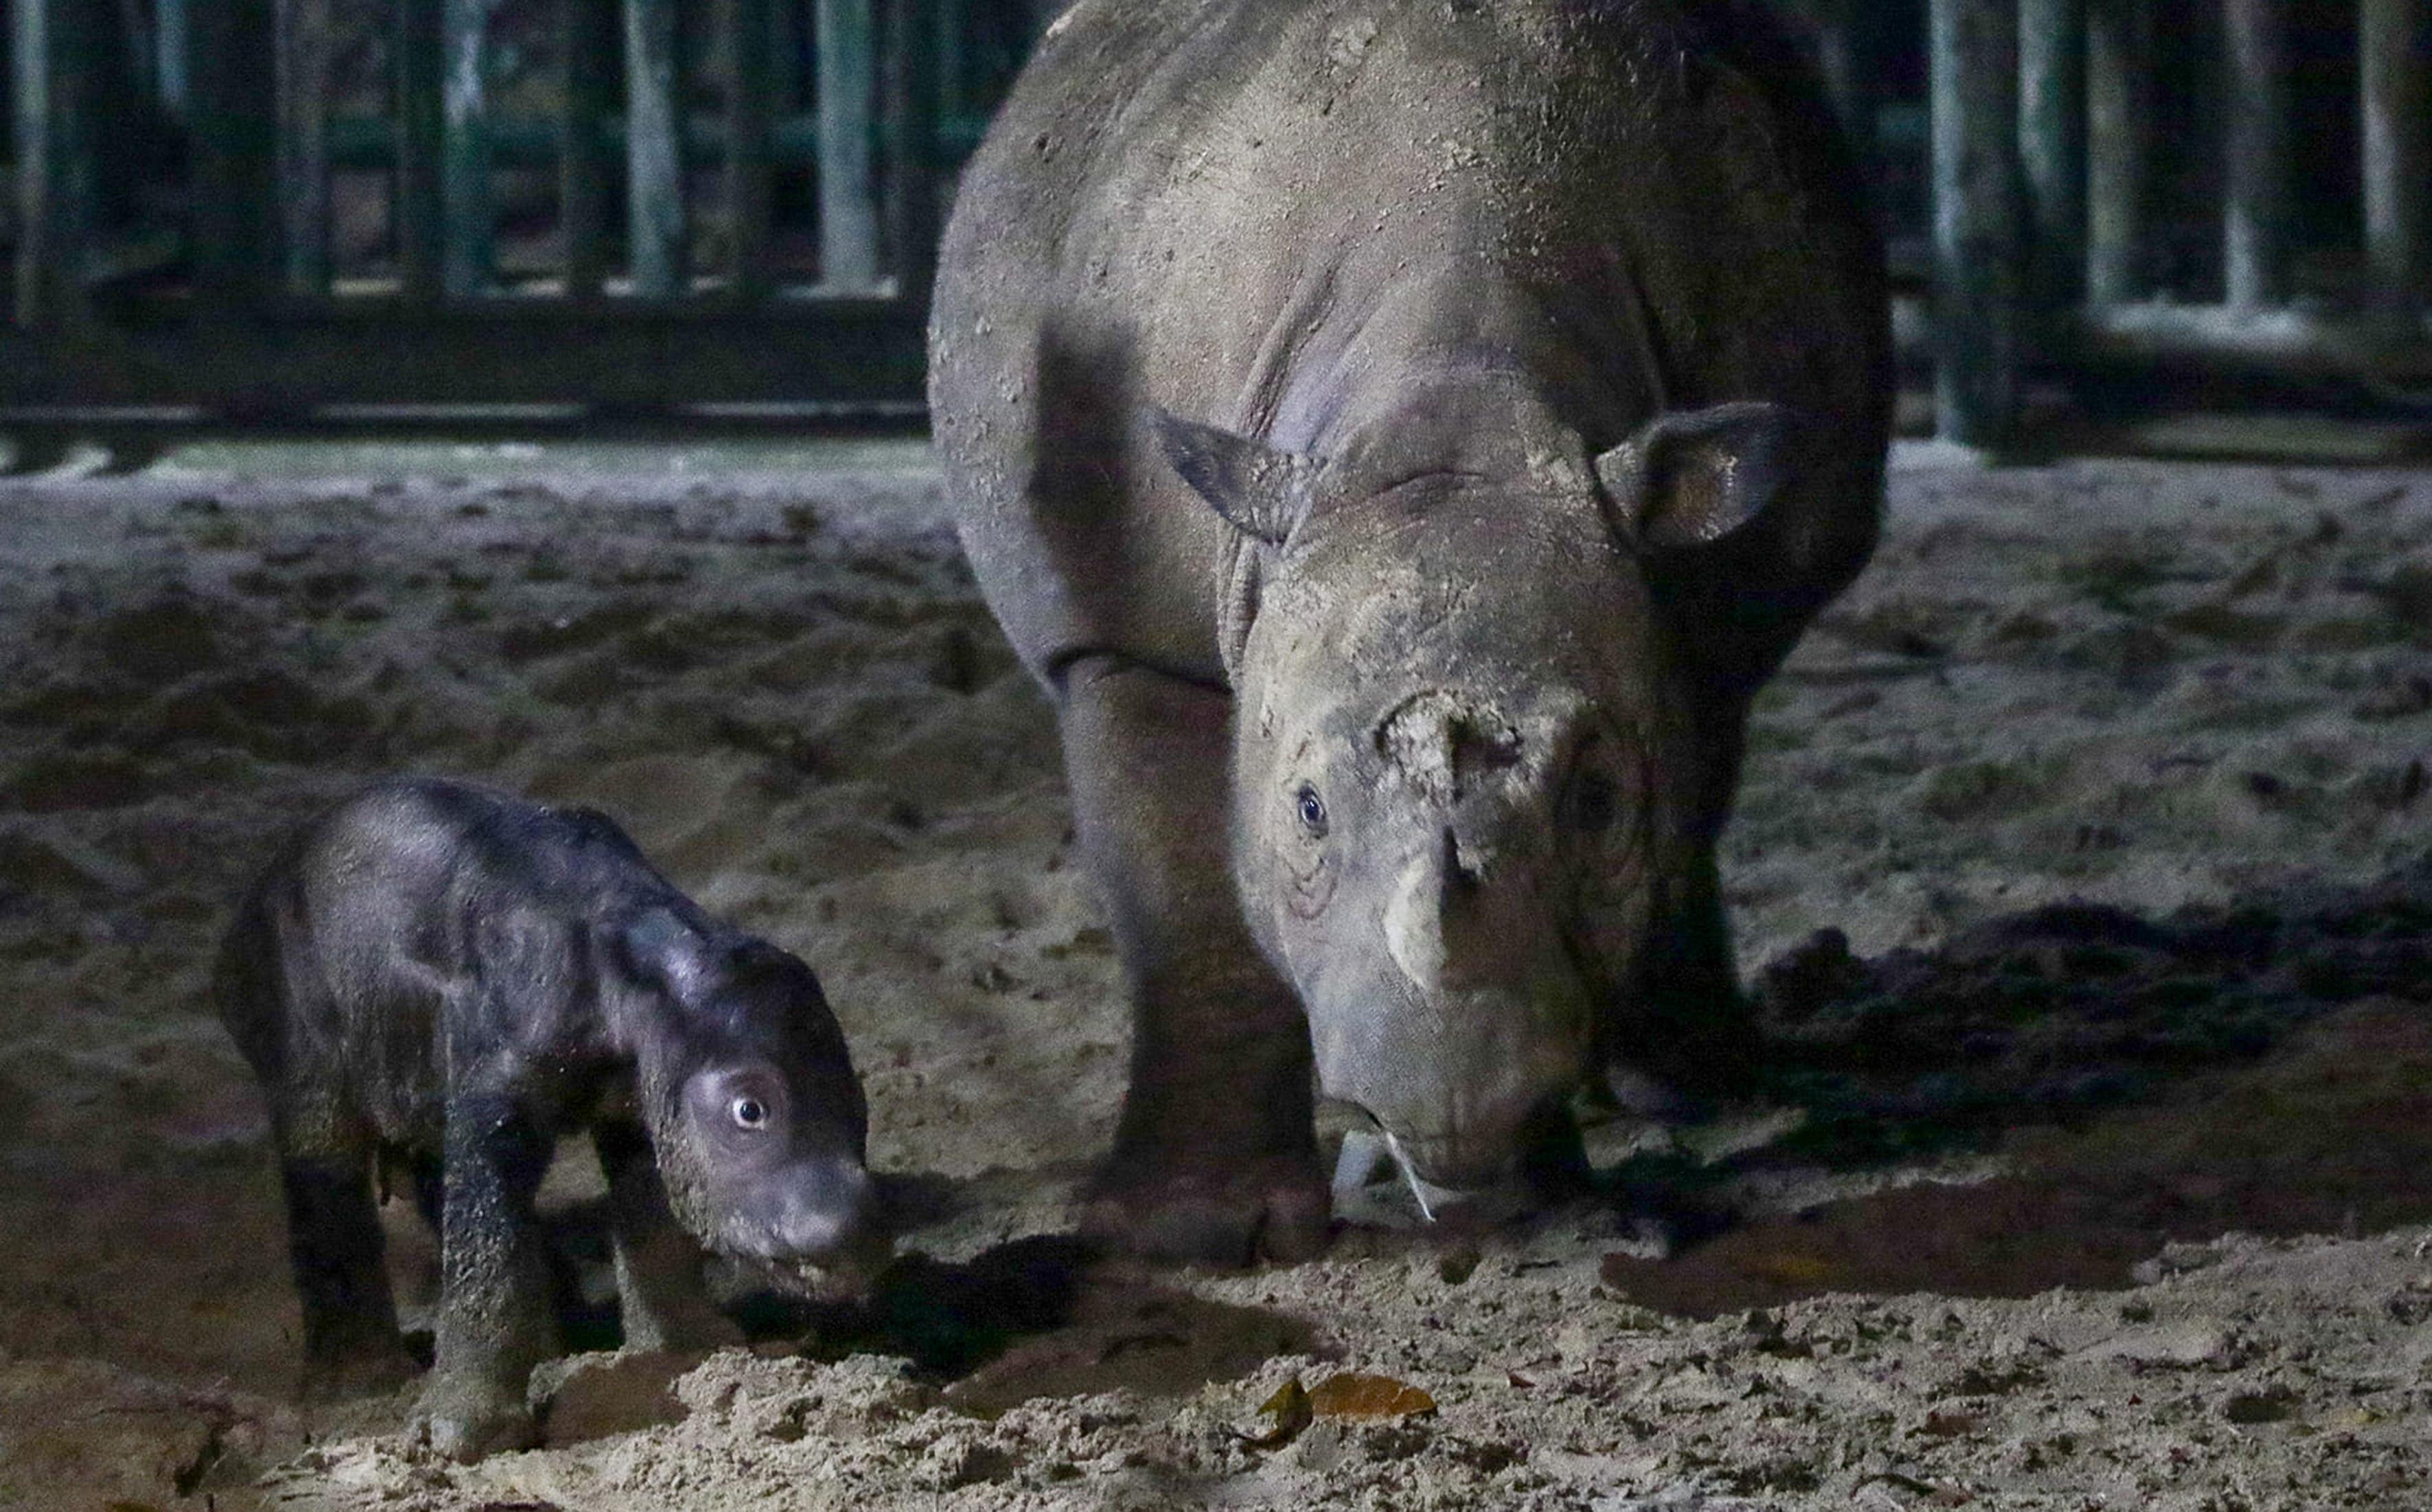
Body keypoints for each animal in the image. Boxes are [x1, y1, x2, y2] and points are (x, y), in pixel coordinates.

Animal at [216, 778, 885, 1468]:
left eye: (856, 1098)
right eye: (749, 1109)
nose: (852, 1237)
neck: (631, 960)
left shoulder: (643, 1088)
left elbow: (648, 1203)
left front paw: (688, 1348)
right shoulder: (499, 1071)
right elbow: (486, 1236)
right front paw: (466, 1434)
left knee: (430, 1165)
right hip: (292, 1021)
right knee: (325, 1161)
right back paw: (359, 1385)